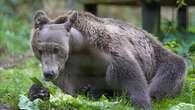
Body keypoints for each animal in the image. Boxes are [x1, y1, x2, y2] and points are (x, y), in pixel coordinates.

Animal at [29, 10, 187, 109]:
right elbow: (70, 91)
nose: (49, 73)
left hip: (157, 57)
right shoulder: (67, 70)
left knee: (170, 71)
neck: (78, 47)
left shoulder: (112, 52)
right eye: (40, 50)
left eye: (56, 49)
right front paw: (40, 92)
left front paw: (142, 103)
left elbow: (131, 77)